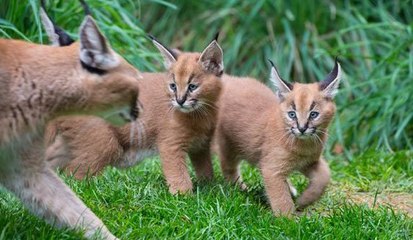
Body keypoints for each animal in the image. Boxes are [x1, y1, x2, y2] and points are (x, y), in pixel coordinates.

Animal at [46, 35, 224, 193]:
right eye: (173, 86)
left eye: (192, 86)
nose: (180, 101)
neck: (201, 114)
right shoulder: (171, 145)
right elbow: (178, 174)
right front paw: (184, 197)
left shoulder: (201, 146)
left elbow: (206, 169)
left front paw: (210, 187)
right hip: (104, 144)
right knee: (73, 175)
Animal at [214, 59, 340, 215]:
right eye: (292, 114)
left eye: (313, 114)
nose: (302, 128)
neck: (304, 144)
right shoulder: (272, 169)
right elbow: (281, 198)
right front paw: (288, 219)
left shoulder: (309, 161)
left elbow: (325, 175)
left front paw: (304, 201)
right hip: (227, 144)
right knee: (228, 166)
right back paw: (239, 190)